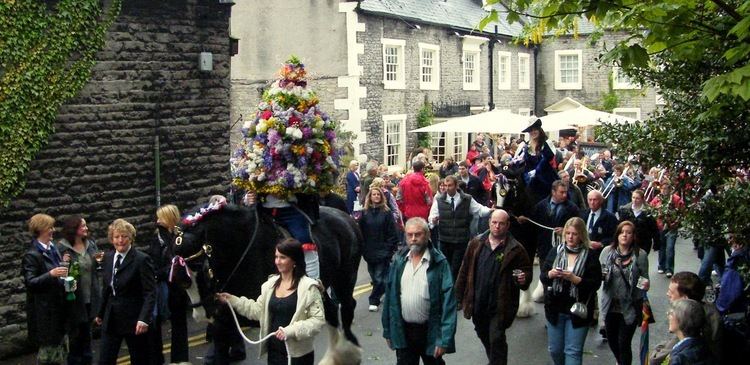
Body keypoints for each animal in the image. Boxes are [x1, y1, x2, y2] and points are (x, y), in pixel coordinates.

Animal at [175, 203, 366, 348]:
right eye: (180, 280)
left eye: (201, 267)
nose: (200, 314)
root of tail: (346, 216)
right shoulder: (226, 321)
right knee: (331, 310)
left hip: (345, 277)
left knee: (348, 305)